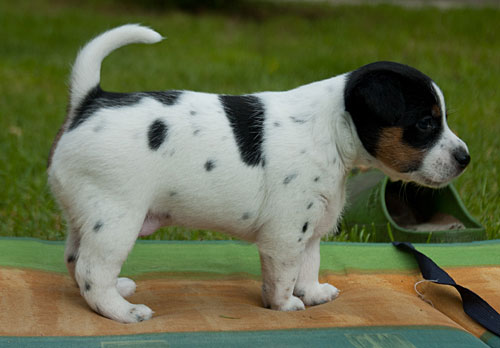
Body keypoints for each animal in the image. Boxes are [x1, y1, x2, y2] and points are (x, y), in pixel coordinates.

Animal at [48, 25, 470, 324]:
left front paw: (313, 294)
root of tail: (90, 102)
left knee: (74, 261)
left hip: (87, 216)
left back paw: (118, 291)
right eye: (426, 123)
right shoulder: (286, 235)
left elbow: (309, 264)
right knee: (91, 270)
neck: (333, 128)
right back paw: (121, 311)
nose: (465, 157)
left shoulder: (310, 227)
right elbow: (283, 275)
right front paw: (284, 306)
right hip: (117, 219)